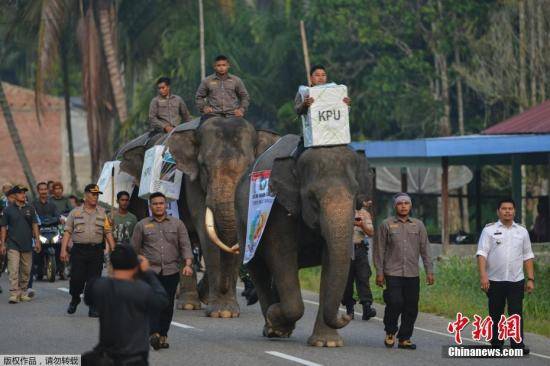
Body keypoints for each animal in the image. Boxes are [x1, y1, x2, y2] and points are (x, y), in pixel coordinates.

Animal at [116, 118, 280, 318]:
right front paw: (221, 312)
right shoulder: (191, 182)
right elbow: (206, 235)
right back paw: (188, 304)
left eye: (250, 167)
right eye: (204, 167)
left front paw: (226, 311)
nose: (224, 288)